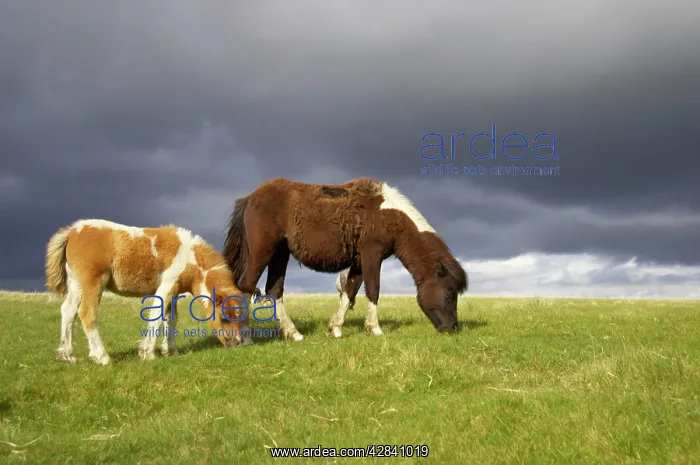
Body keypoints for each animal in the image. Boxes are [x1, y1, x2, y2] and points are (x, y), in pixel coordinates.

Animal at [45, 219, 252, 365]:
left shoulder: (175, 293)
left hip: (75, 285)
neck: (188, 256)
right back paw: (102, 357)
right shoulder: (167, 286)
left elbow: (171, 319)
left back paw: (67, 355)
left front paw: (171, 351)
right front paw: (148, 353)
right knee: (87, 313)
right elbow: (157, 316)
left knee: (68, 312)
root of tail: (72, 232)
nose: (235, 343)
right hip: (93, 283)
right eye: (224, 318)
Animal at [222, 177, 468, 341]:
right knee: (246, 286)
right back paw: (244, 337)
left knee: (274, 290)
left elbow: (350, 292)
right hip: (262, 252)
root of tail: (251, 198)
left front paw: (336, 327)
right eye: (449, 293)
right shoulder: (371, 255)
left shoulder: (358, 261)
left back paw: (293, 333)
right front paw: (375, 328)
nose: (453, 328)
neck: (388, 215)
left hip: (280, 254)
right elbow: (373, 290)